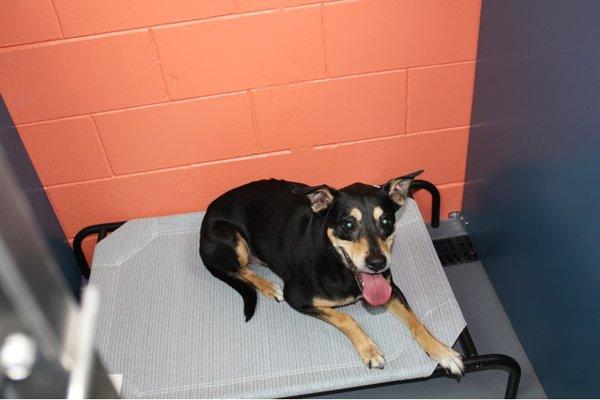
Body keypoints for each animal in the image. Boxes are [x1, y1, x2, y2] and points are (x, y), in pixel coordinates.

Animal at [199, 171, 462, 376]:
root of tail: (205, 218)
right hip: (232, 238)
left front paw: (442, 351)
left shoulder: (390, 288)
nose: (377, 263)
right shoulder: (298, 298)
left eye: (387, 221)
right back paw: (268, 286)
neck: (339, 265)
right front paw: (369, 350)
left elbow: (417, 323)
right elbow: (346, 318)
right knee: (238, 269)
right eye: (347, 224)